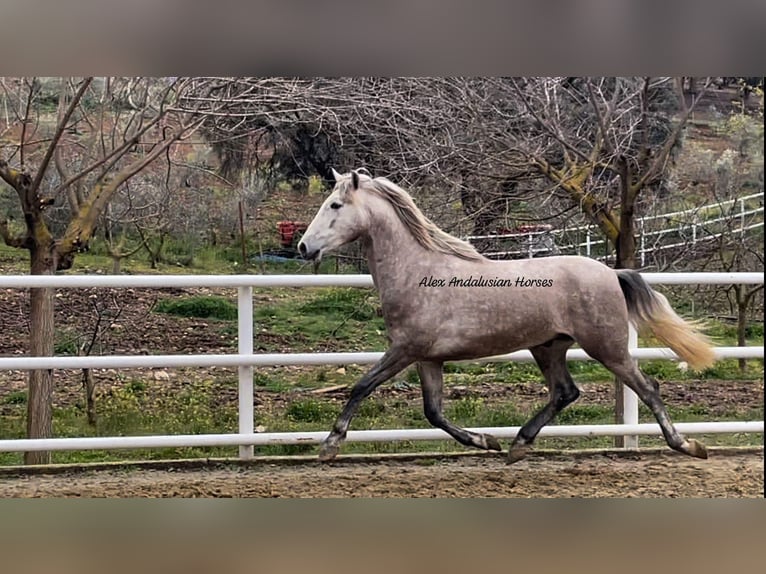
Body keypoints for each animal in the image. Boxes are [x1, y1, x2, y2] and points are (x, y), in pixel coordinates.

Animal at [296, 169, 716, 466]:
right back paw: (518, 445)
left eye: (335, 206)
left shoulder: (405, 349)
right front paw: (487, 441)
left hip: (607, 348)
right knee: (565, 392)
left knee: (647, 388)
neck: (417, 272)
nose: (303, 247)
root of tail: (611, 273)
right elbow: (434, 413)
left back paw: (688, 445)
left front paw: (329, 446)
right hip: (548, 347)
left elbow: (361, 387)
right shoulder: (428, 358)